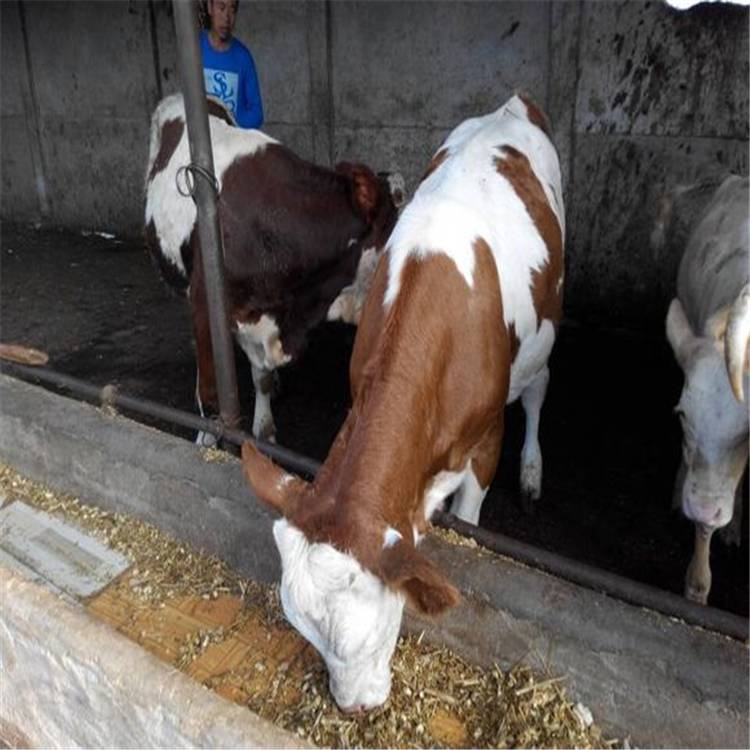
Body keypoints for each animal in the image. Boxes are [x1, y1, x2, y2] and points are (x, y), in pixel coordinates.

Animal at [241, 94, 564, 712]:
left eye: (370, 636)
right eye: (304, 631)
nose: (355, 708)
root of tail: (513, 104)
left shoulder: (485, 440)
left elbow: (468, 515)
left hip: (548, 319)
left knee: (539, 387)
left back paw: (536, 472)